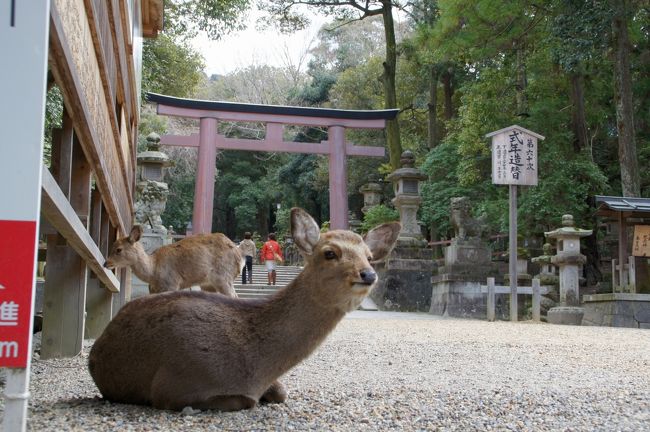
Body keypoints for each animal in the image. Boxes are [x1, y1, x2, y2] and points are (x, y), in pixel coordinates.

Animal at [104, 224, 240, 296]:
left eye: (118, 249)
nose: (106, 263)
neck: (153, 271)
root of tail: (239, 256)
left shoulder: (171, 284)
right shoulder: (153, 290)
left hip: (223, 277)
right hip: (209, 284)